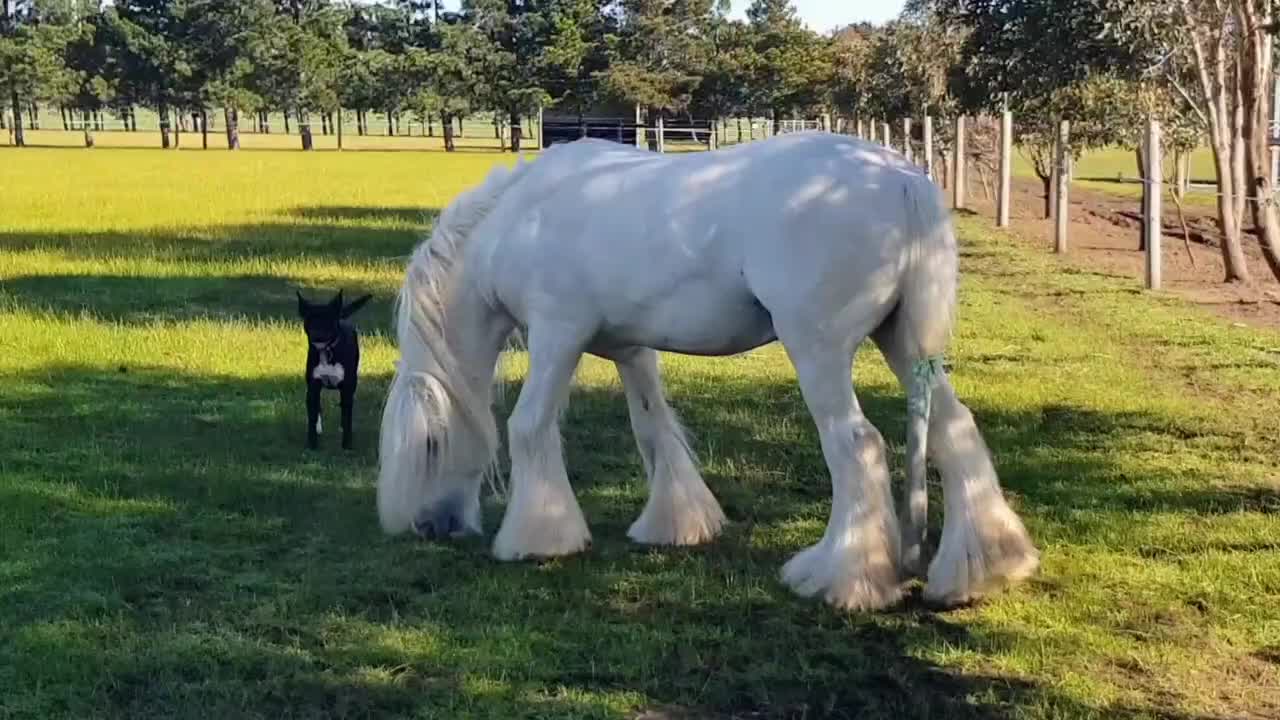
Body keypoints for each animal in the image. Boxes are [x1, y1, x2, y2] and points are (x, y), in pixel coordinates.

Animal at [376, 131, 1039, 611]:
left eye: (430, 445)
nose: (430, 527)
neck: (520, 219)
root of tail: (901, 180)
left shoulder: (557, 335)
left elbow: (528, 427)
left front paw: (537, 538)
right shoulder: (630, 351)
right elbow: (654, 432)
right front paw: (676, 524)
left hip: (819, 350)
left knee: (859, 446)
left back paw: (839, 579)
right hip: (902, 344)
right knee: (955, 431)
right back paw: (985, 568)